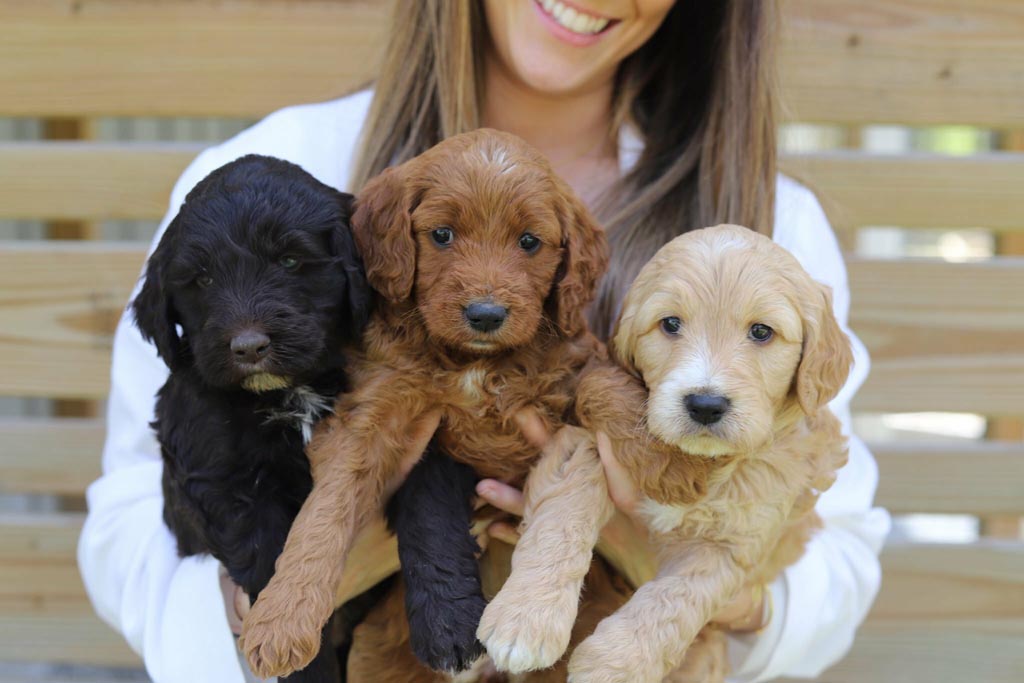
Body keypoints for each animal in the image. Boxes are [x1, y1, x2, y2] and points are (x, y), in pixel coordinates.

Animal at [133, 156, 372, 683]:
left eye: (289, 261)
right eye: (202, 280)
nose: (247, 348)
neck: (287, 390)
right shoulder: (226, 480)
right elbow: (269, 559)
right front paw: (305, 665)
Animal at [238, 131, 606, 679]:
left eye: (529, 242)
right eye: (442, 235)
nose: (485, 315)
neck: (475, 363)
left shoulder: (577, 403)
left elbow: (571, 496)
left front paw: (529, 620)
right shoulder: (371, 412)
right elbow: (322, 514)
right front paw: (281, 619)